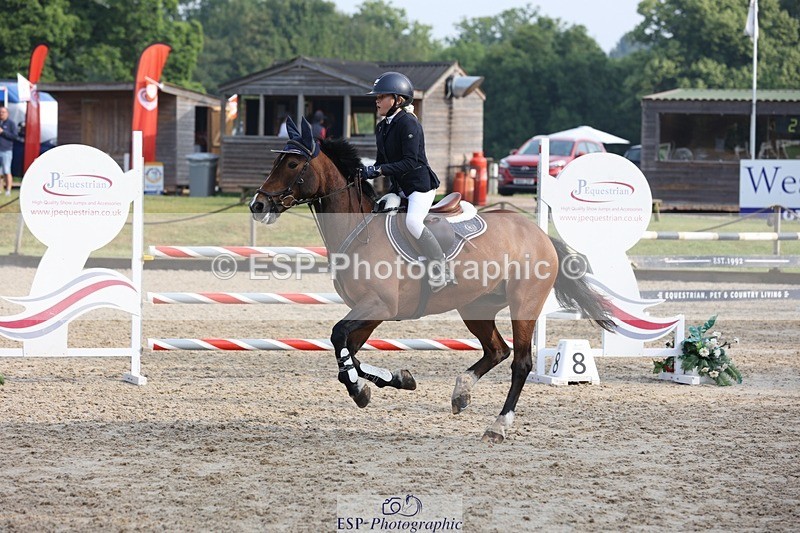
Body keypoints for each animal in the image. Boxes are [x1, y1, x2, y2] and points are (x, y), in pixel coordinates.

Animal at [249, 117, 613, 443]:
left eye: (293, 163)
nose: (258, 204)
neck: (359, 231)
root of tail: (538, 234)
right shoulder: (370, 312)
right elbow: (348, 351)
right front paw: (394, 380)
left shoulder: (378, 306)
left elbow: (339, 338)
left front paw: (359, 389)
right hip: (475, 307)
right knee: (497, 350)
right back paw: (461, 393)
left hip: (524, 305)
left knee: (521, 362)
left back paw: (498, 426)